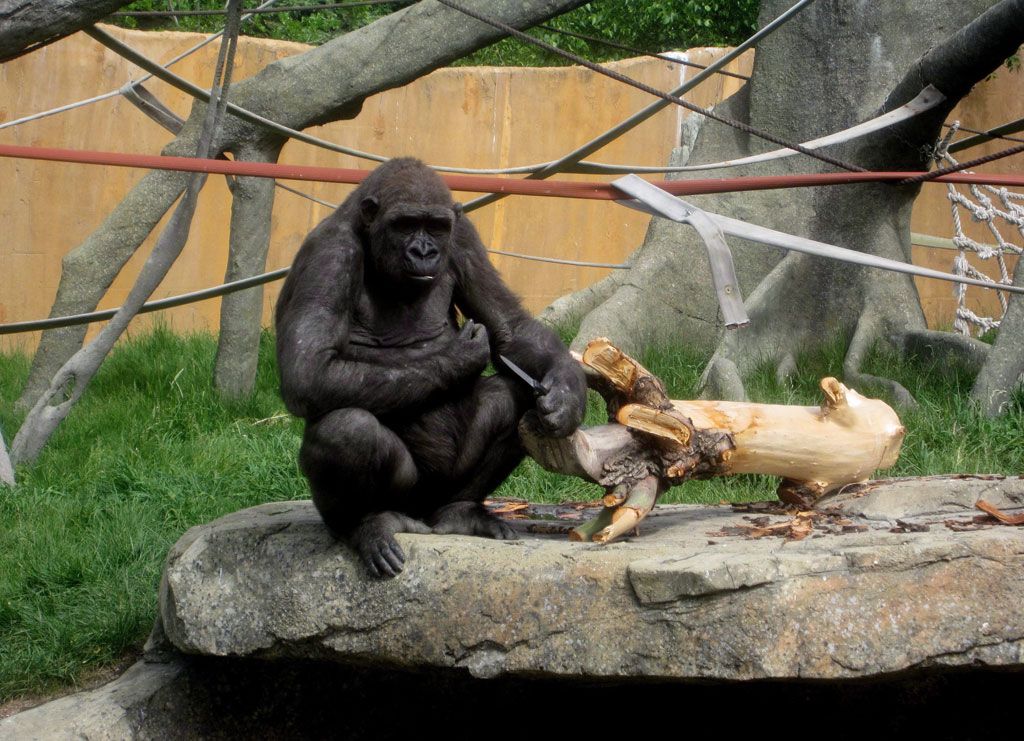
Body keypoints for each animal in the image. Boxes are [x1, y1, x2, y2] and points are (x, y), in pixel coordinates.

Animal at [276, 157, 589, 577]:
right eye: (406, 224)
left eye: (437, 227)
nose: (424, 251)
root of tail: (423, 519)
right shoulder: (329, 255)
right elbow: (308, 371)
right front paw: (462, 356)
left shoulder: (464, 237)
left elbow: (512, 329)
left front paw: (568, 394)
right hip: (406, 497)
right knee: (347, 430)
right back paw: (367, 524)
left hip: (443, 493)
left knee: (516, 395)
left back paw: (462, 512)